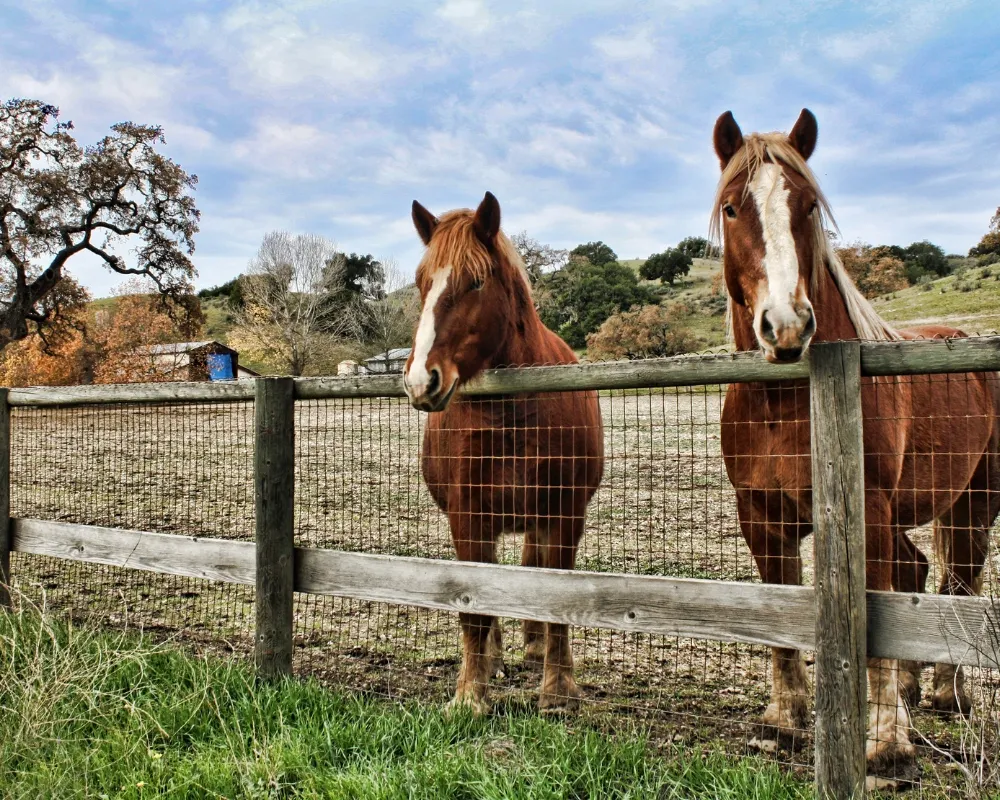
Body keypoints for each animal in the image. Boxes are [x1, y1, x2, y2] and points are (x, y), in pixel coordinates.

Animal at [402, 192, 605, 715]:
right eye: (421, 285)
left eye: (475, 281)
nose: (420, 381)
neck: (513, 413)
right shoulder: (467, 513)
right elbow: (473, 606)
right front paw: (470, 694)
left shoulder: (563, 512)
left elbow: (555, 597)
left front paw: (557, 689)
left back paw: (534, 649)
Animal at [712, 108, 1000, 781]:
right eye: (733, 208)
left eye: (809, 205)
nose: (786, 325)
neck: (783, 404)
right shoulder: (760, 513)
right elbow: (780, 615)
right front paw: (782, 723)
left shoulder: (861, 509)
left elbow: (874, 615)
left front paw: (887, 746)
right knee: (920, 573)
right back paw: (918, 689)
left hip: (975, 501)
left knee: (959, 585)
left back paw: (946, 694)